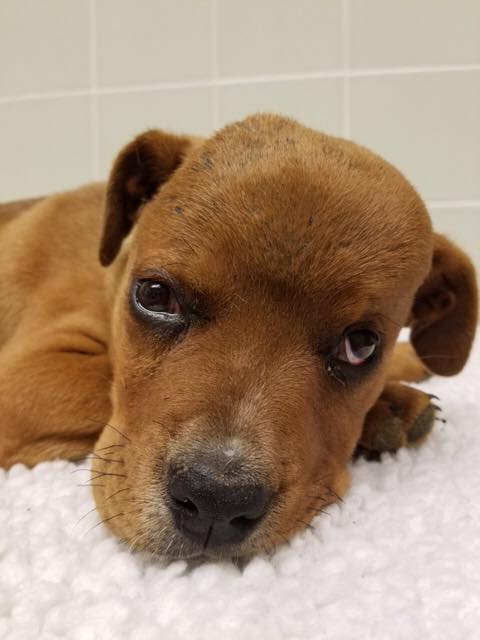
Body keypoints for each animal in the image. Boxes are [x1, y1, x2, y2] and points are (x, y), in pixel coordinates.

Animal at [0, 115, 476, 560]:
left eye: (361, 346)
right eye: (154, 295)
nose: (216, 501)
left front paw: (396, 390)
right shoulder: (25, 373)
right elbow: (101, 384)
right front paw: (389, 405)